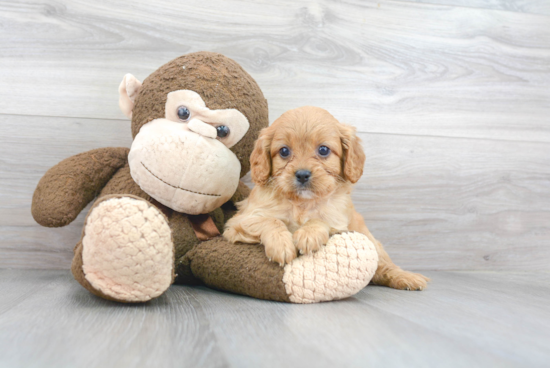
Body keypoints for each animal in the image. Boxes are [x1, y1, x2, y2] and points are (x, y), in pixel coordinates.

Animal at [224, 105, 432, 290]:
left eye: (323, 150)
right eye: (284, 151)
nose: (302, 174)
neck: (302, 203)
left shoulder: (338, 221)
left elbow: (320, 219)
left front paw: (308, 234)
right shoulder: (240, 221)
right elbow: (271, 220)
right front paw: (281, 245)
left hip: (370, 239)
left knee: (384, 267)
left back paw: (407, 278)